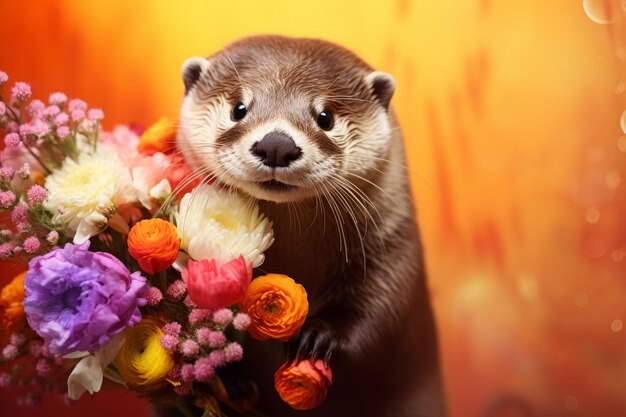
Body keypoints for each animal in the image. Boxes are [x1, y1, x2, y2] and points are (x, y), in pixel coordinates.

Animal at [177, 35, 444, 416]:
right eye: (238, 108)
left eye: (325, 116)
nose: (276, 144)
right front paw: (227, 373)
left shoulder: (391, 251)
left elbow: (381, 310)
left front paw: (318, 336)